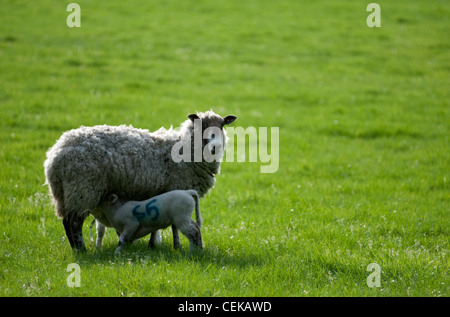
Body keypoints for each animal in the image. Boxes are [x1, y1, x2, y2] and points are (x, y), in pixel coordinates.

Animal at [44, 110, 237, 251]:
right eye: (203, 125)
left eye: (222, 125)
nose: (215, 147)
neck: (185, 149)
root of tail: (55, 155)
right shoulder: (177, 187)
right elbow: (174, 226)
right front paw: (176, 246)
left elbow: (158, 221)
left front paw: (153, 245)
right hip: (82, 189)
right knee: (74, 222)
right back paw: (81, 249)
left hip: (65, 193)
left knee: (66, 222)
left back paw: (75, 249)